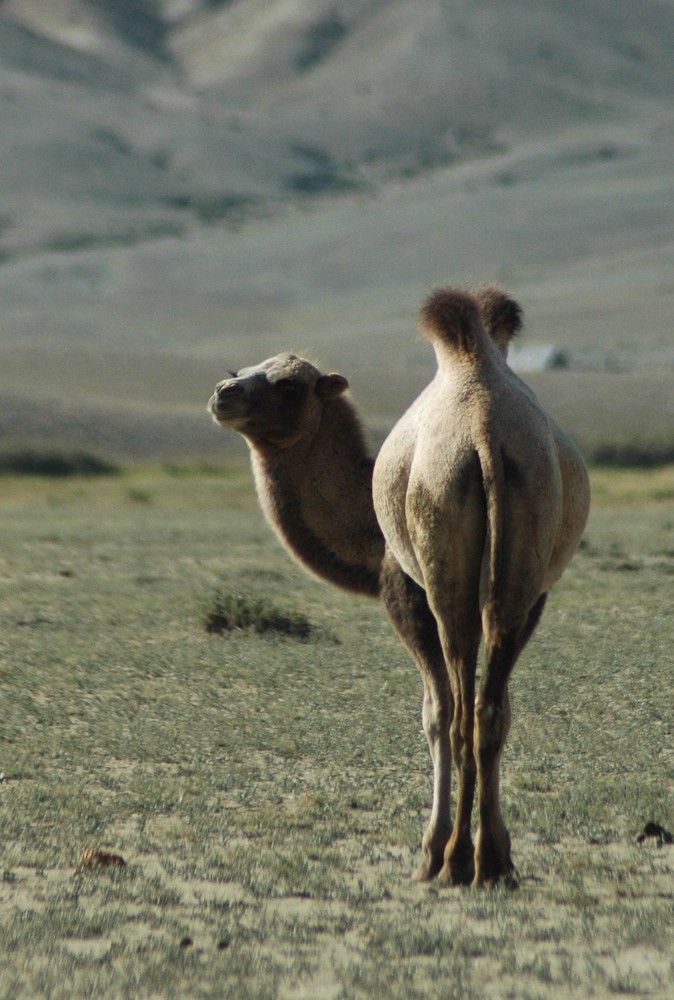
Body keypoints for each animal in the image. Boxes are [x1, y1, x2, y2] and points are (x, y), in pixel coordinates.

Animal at [207, 286, 584, 888]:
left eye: (288, 384)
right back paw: (491, 859)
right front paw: (494, 851)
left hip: (442, 568)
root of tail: (484, 434)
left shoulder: (400, 587)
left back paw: (450, 858)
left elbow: (432, 713)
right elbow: (496, 706)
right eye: (238, 369)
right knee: (487, 710)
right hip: (524, 565)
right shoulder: (537, 596)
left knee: (454, 710)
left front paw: (430, 849)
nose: (223, 394)